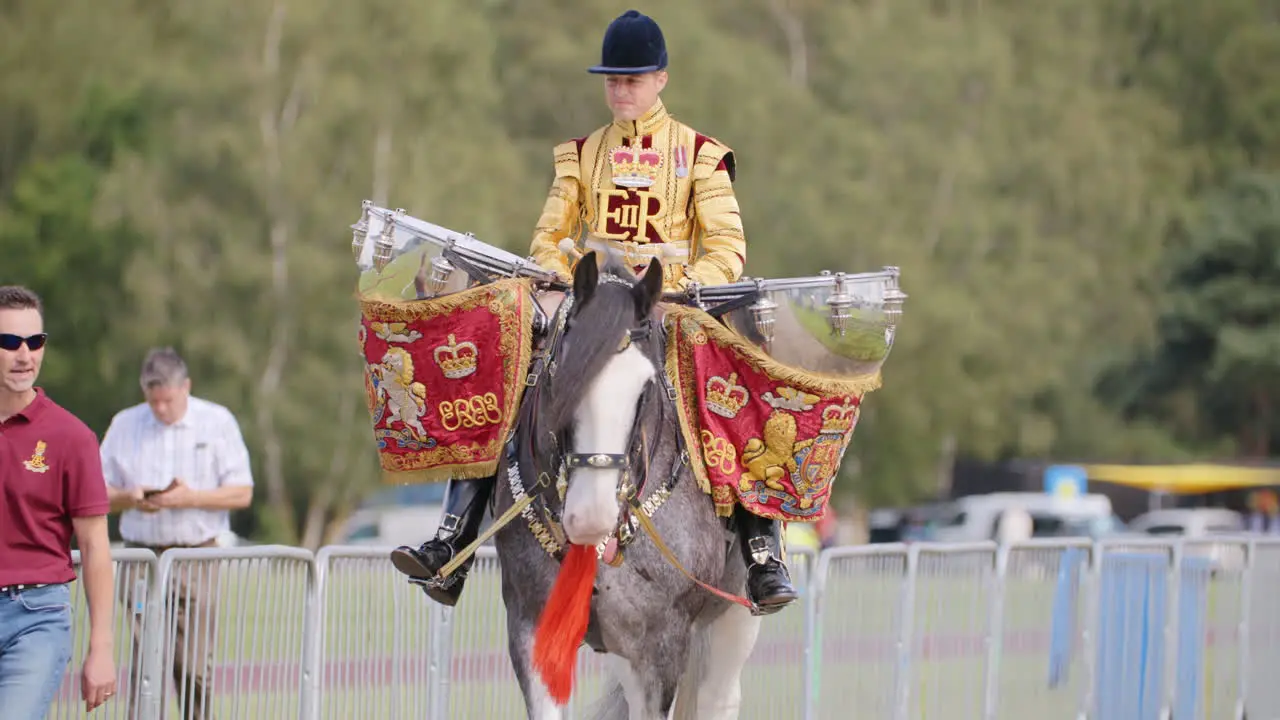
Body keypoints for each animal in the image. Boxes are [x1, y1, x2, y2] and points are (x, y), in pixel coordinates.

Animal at [488, 252, 757, 717]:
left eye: (644, 390)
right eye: (561, 372)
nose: (590, 518)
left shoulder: (659, 646)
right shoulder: (530, 626)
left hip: (730, 620)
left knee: (718, 697)